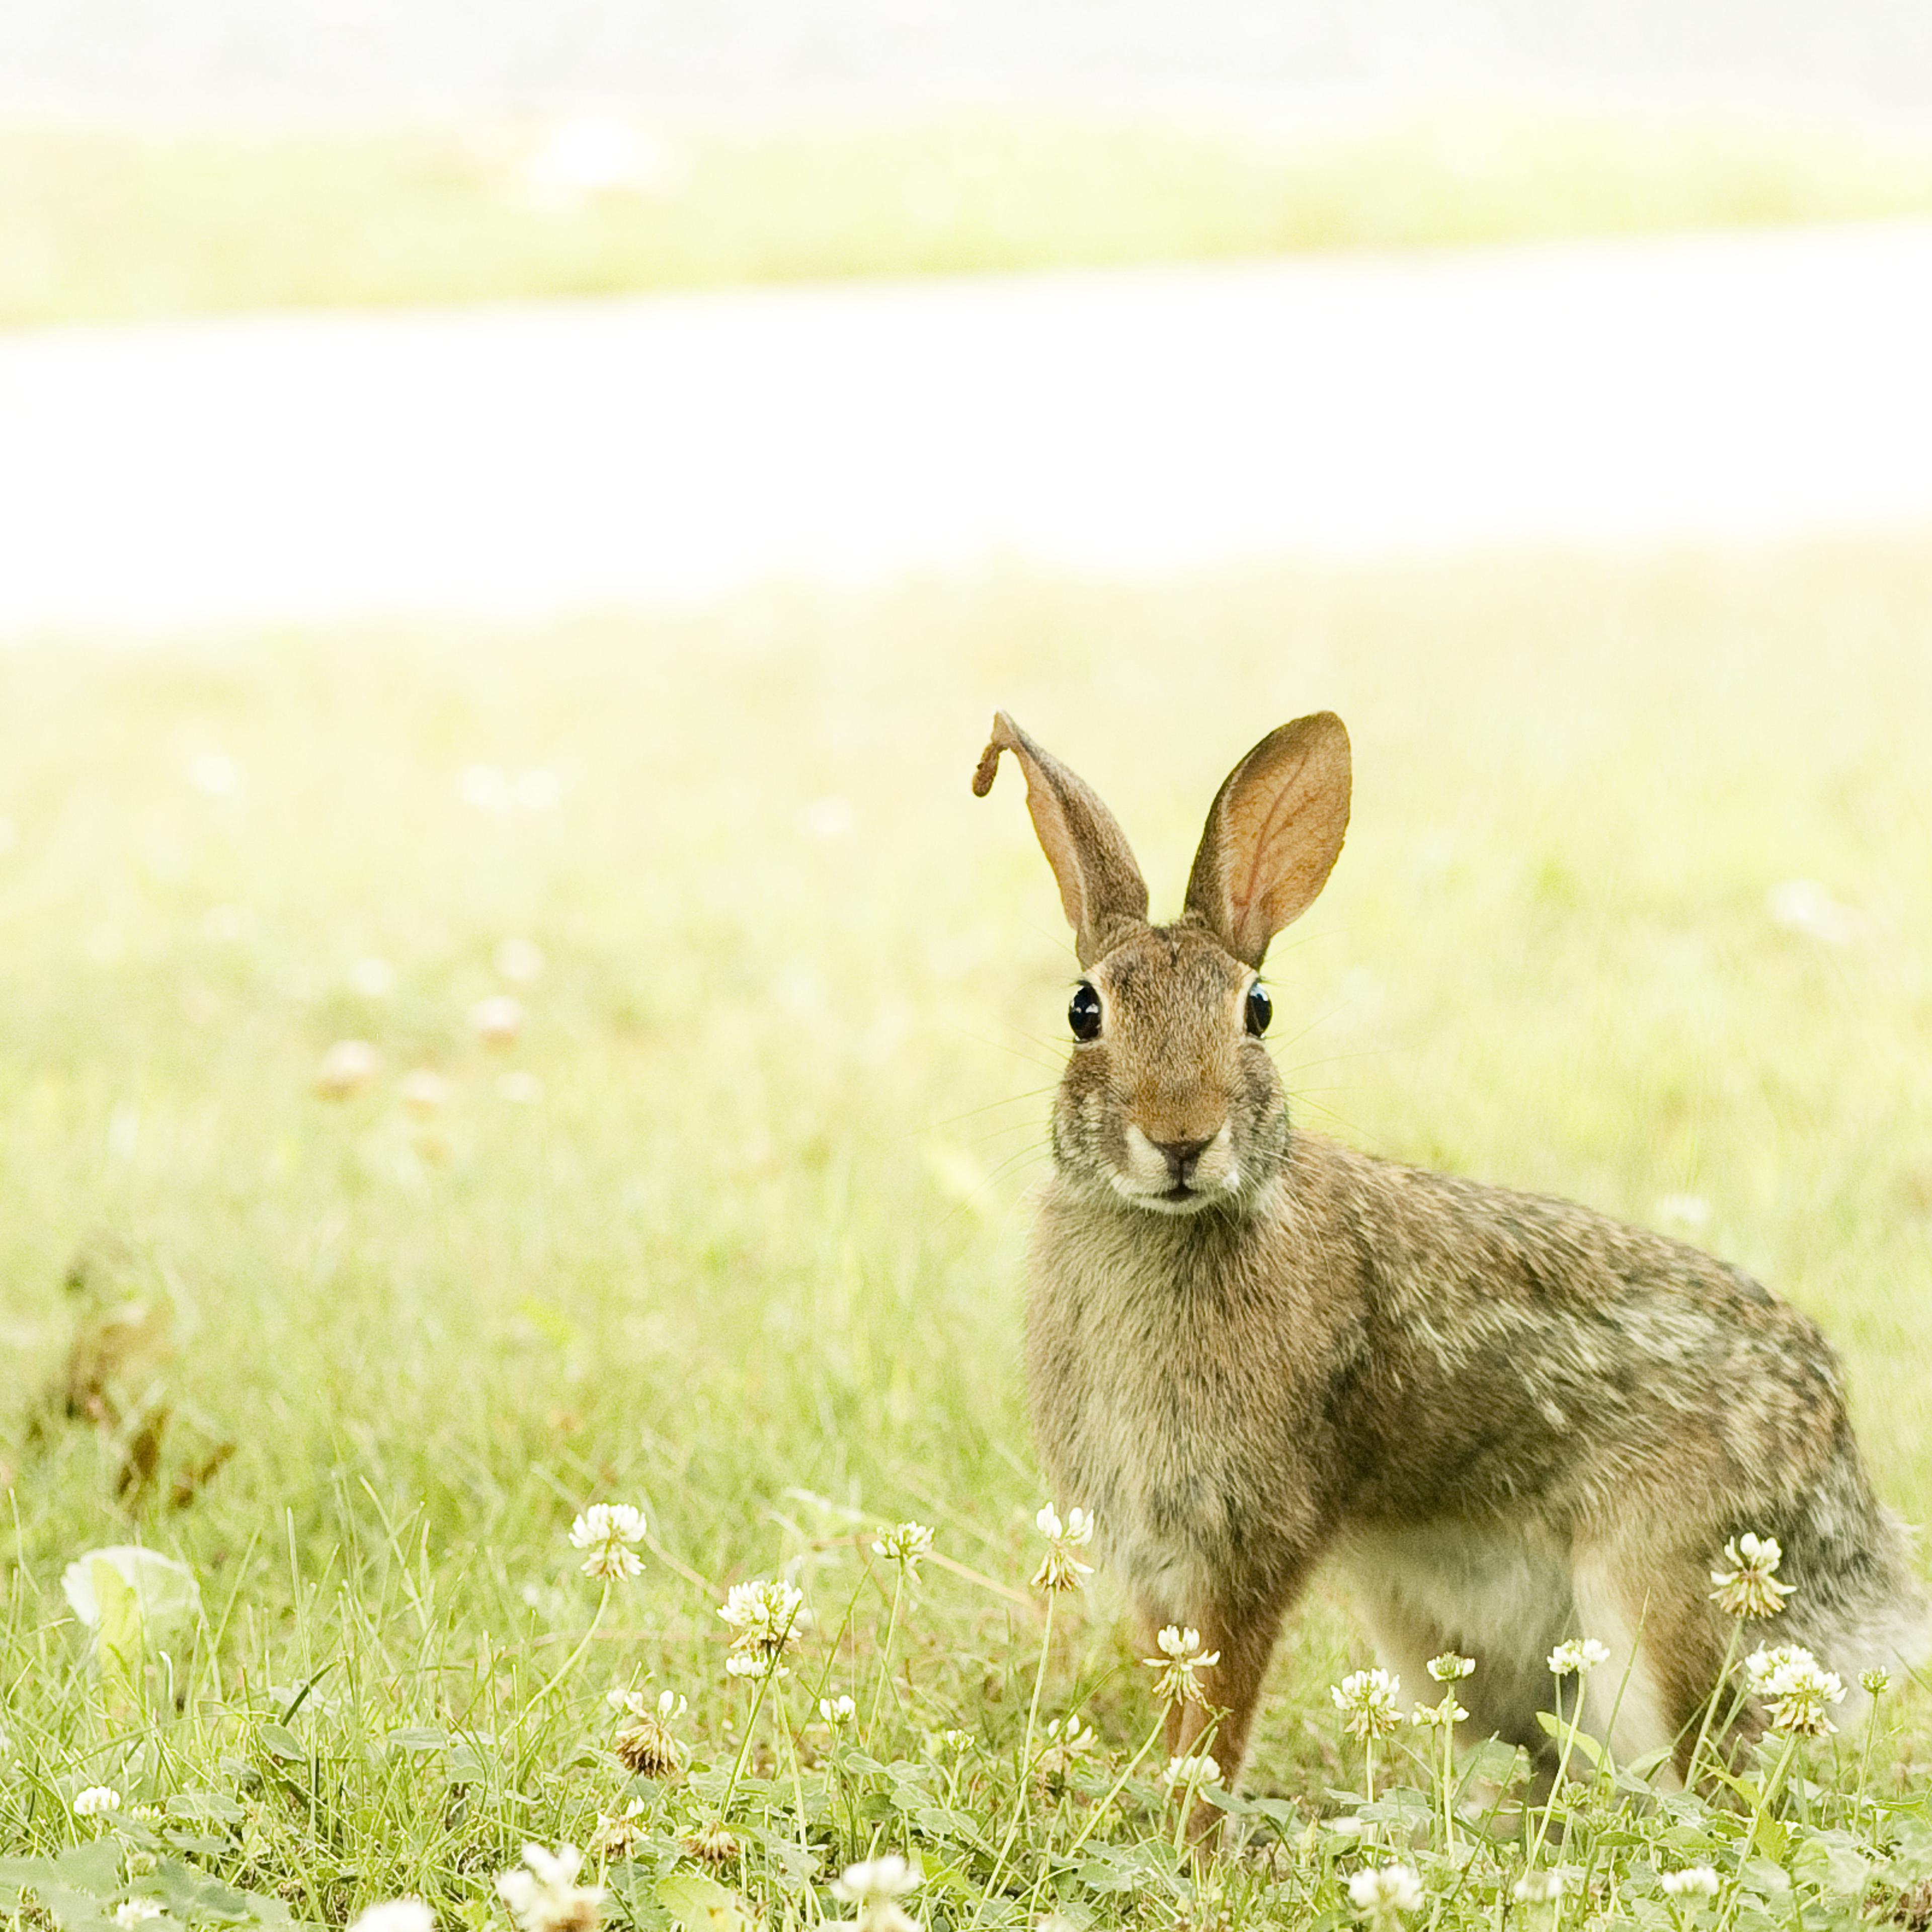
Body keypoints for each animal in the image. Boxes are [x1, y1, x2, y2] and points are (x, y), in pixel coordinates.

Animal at [973, 707, 1928, 1806]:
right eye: (1083, 1012)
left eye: (1259, 1011)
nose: (1181, 1138)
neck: (1168, 1223)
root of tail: (1835, 1454)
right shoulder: (1158, 1558)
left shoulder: (1248, 1539)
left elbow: (1214, 1723)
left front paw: (1193, 1835)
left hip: (1656, 1602)